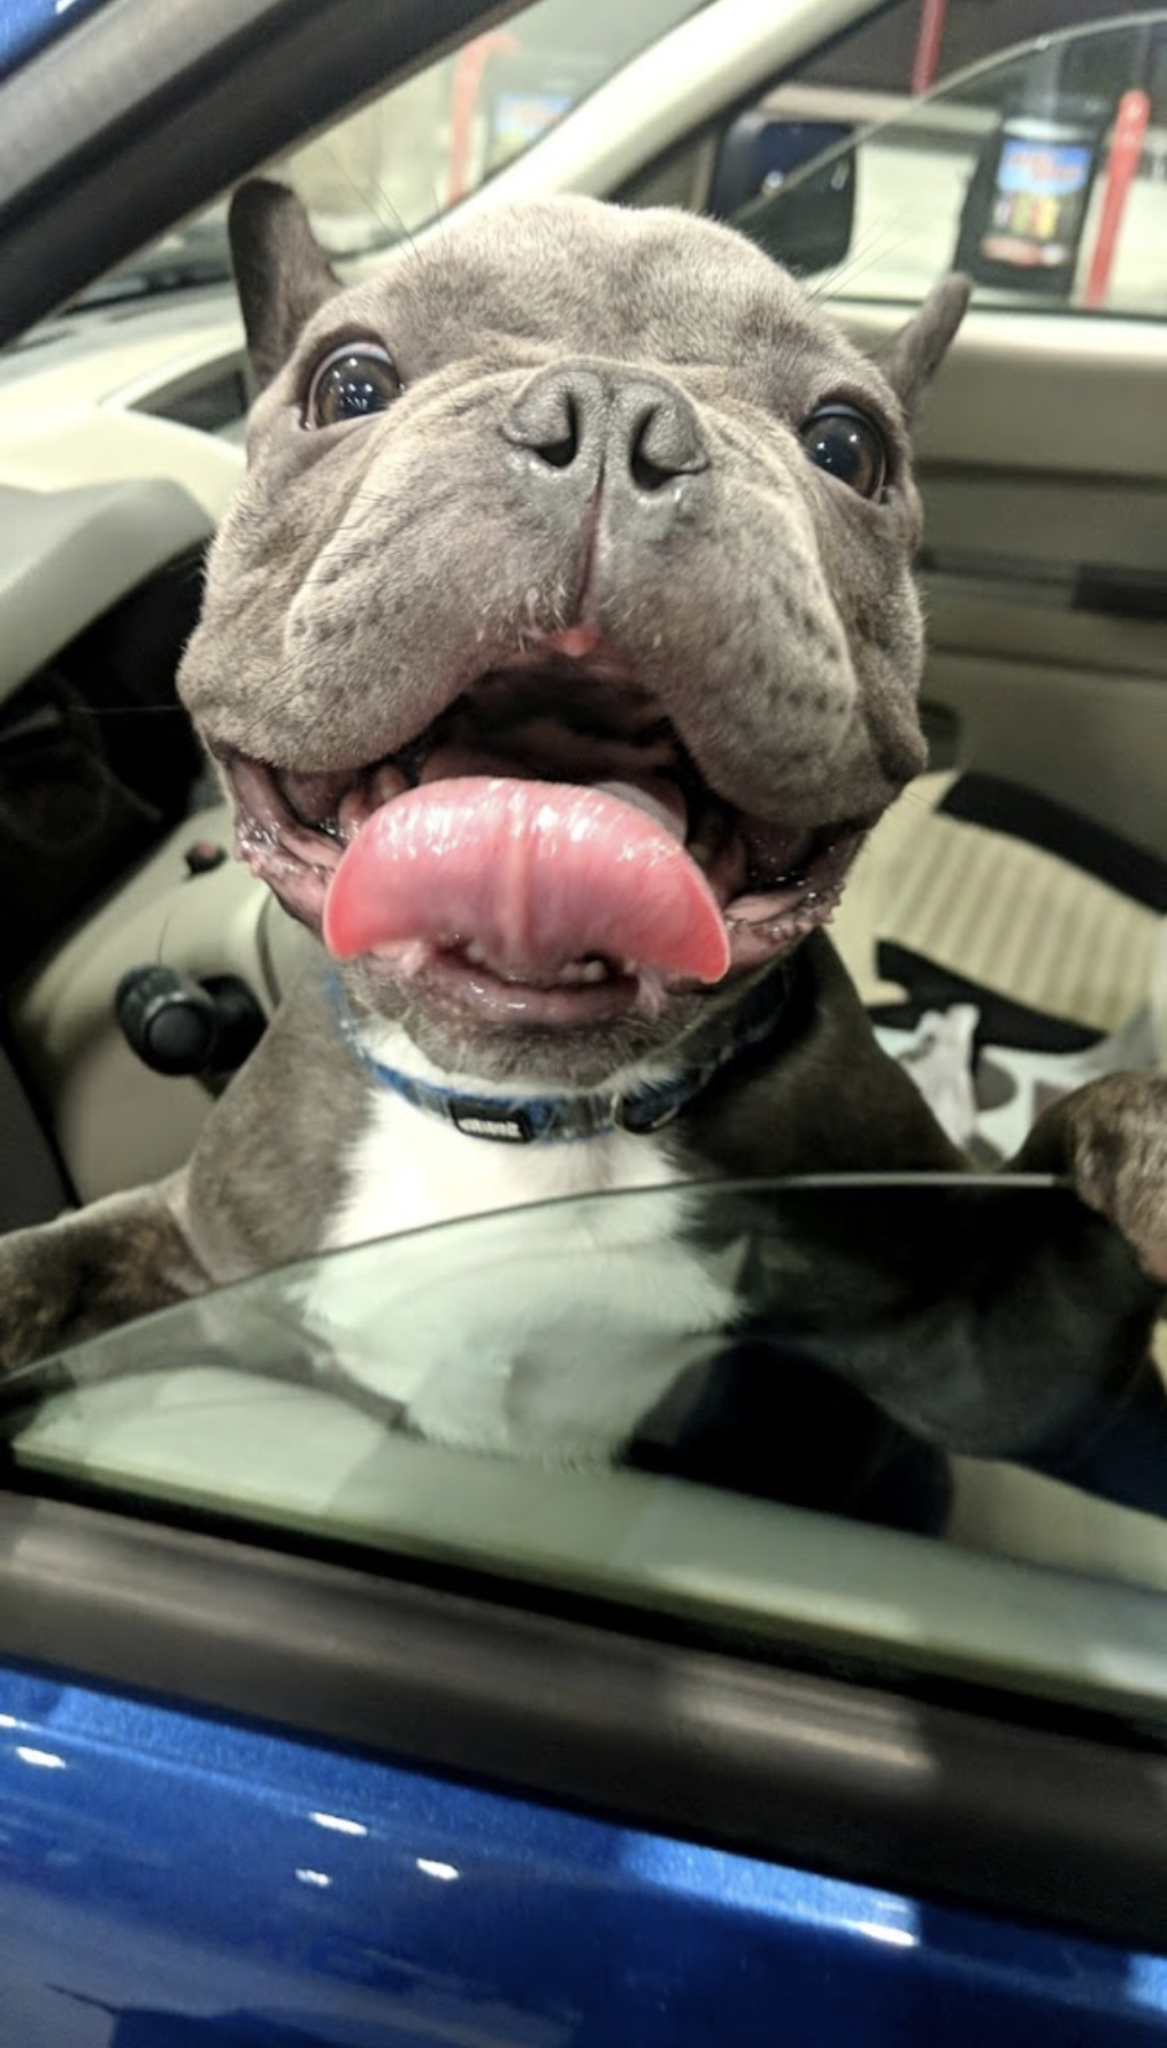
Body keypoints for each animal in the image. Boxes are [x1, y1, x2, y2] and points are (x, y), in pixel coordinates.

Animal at [2, 176, 1162, 1515]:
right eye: (347, 382)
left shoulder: (976, 1335)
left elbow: (1084, 1156)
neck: (535, 1124)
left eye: (848, 447)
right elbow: (41, 1268)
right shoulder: (201, 1250)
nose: (613, 411)